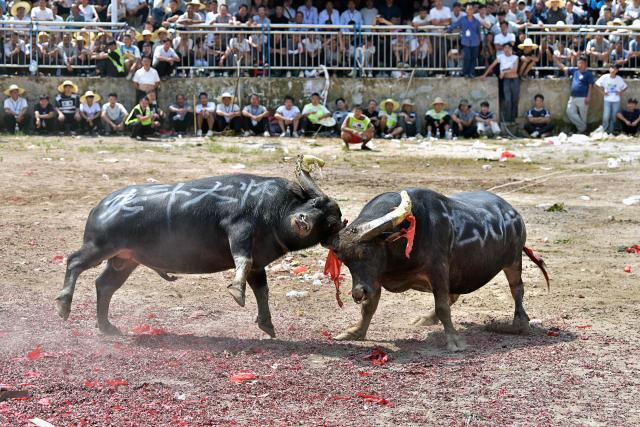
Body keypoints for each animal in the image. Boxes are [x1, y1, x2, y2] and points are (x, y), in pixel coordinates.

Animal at [55, 155, 343, 338]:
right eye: (314, 204)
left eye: (331, 222)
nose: (302, 221)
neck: (275, 210)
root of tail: (101, 205)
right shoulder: (238, 230)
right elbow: (242, 261)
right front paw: (236, 293)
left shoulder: (258, 263)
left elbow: (262, 290)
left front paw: (267, 325)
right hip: (99, 245)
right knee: (74, 261)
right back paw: (63, 305)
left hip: (125, 260)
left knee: (104, 285)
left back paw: (107, 327)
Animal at [323, 189, 549, 351]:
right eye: (344, 261)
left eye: (365, 252)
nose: (358, 292)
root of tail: (514, 213)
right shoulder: (375, 278)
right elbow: (368, 307)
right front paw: (355, 332)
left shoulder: (438, 270)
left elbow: (442, 306)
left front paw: (454, 341)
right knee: (454, 295)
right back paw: (427, 318)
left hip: (514, 260)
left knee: (517, 289)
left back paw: (520, 323)